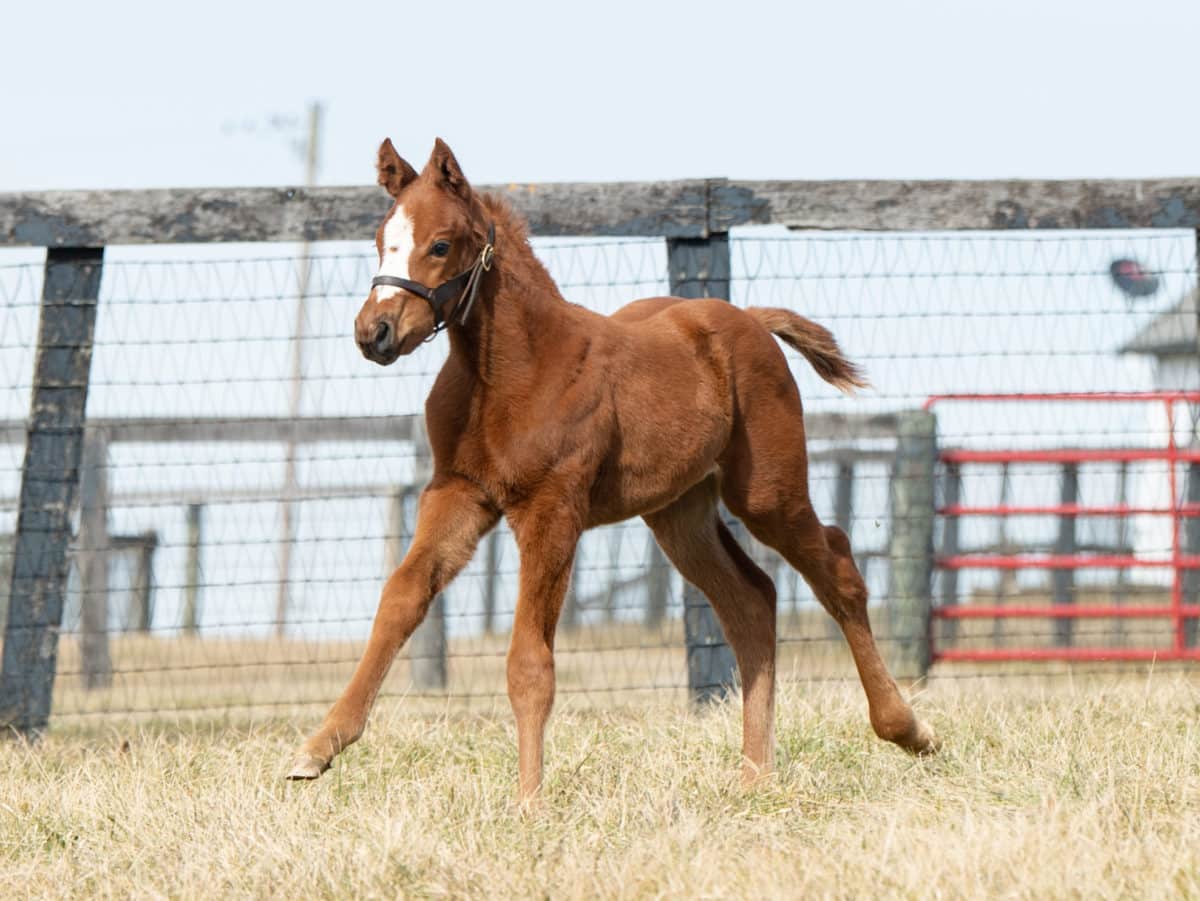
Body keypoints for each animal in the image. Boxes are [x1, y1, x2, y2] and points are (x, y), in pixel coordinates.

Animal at [288, 137, 936, 791]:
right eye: (380, 240)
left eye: (441, 245)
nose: (374, 332)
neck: (508, 375)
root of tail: (752, 319)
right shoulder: (459, 493)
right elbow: (401, 598)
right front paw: (316, 749)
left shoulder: (551, 509)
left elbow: (530, 661)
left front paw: (529, 800)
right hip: (679, 513)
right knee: (752, 600)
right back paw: (755, 775)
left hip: (767, 492)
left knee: (838, 569)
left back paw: (908, 729)